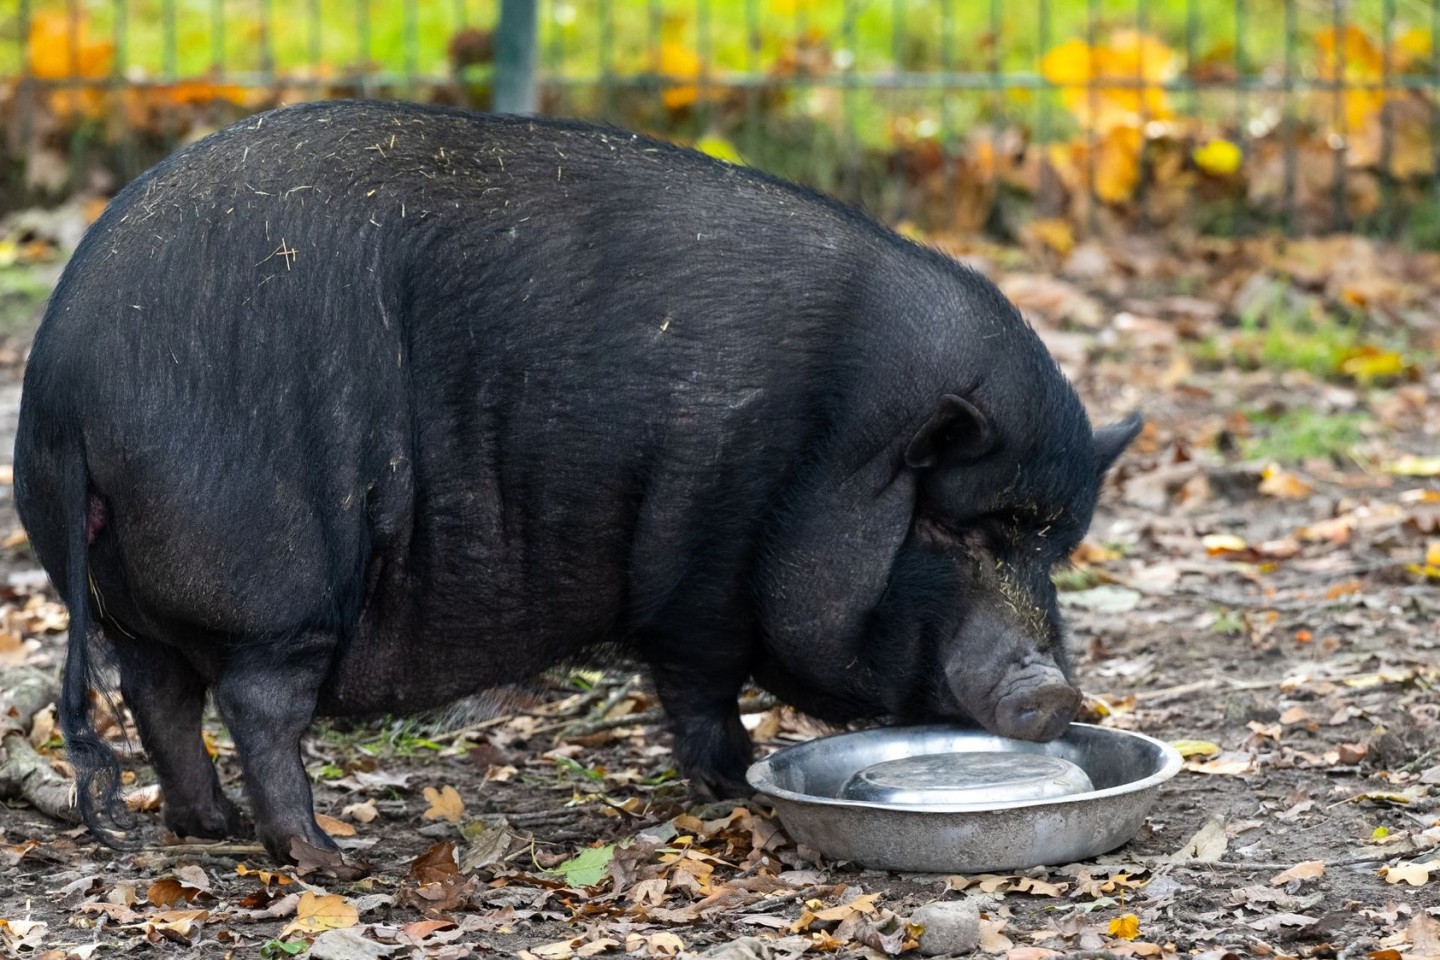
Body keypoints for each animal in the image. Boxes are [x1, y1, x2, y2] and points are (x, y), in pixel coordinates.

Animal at [11, 99, 1134, 863]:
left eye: (1050, 540)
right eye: (953, 530)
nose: (1052, 689)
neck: (828, 447)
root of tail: (65, 383)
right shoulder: (699, 587)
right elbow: (699, 693)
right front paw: (734, 783)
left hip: (128, 592)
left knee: (158, 693)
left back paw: (212, 825)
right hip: (276, 588)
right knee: (252, 704)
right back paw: (326, 857)